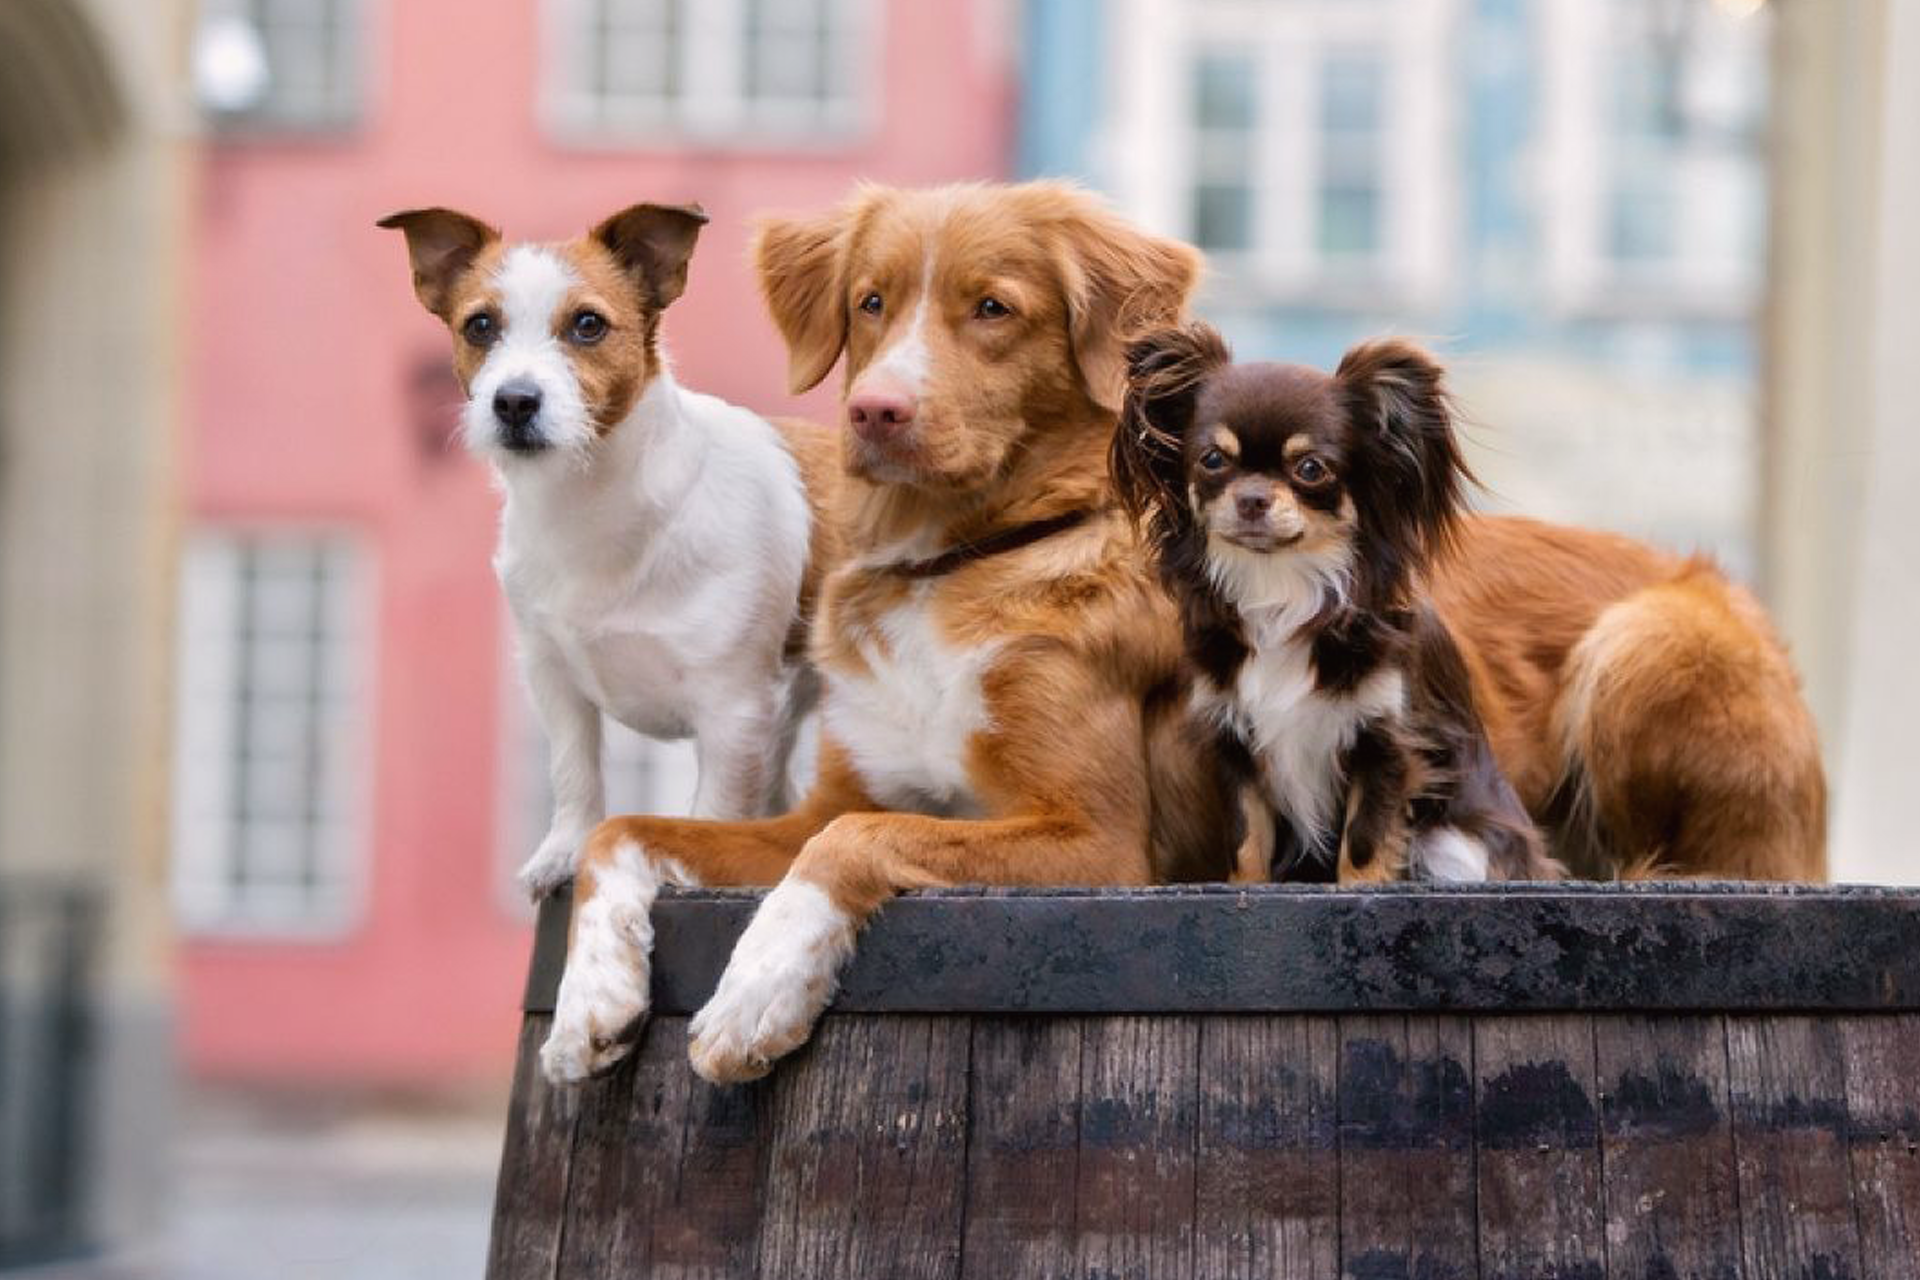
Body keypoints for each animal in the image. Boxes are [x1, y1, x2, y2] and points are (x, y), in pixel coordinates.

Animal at [384, 205, 840, 898]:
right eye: (480, 325)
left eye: (588, 324)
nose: (514, 401)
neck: (594, 504)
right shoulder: (552, 677)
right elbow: (575, 772)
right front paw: (564, 850)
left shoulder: (734, 711)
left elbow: (714, 810)